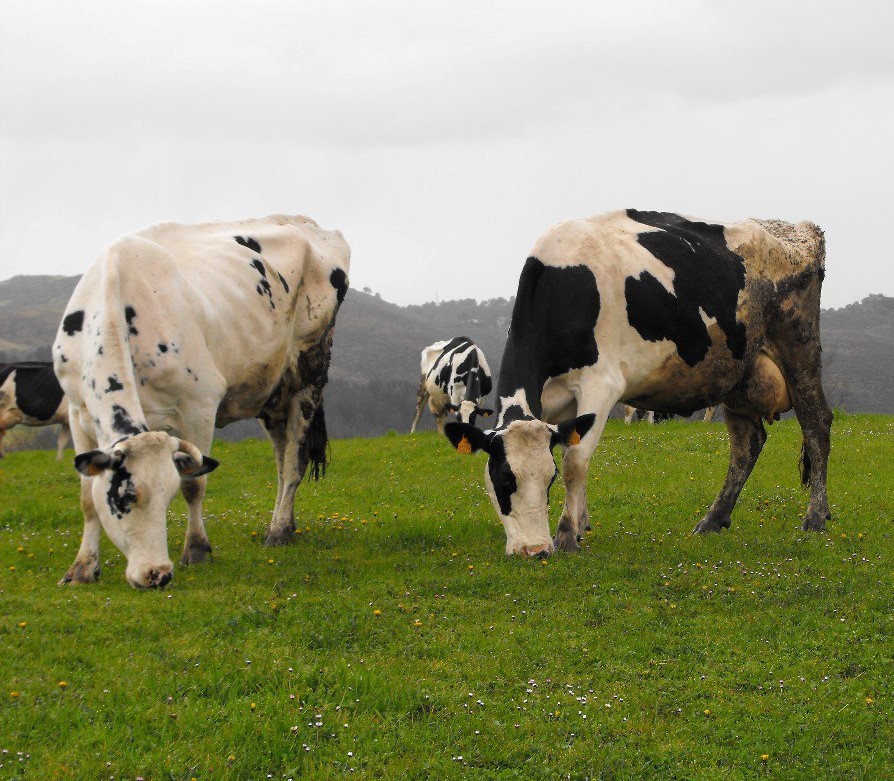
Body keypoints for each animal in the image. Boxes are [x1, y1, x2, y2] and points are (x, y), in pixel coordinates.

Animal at [53, 214, 350, 588]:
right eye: (127, 496)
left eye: (167, 497)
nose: (158, 574)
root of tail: (308, 224)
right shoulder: (78, 412)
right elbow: (87, 495)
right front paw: (82, 568)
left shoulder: (200, 405)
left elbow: (194, 484)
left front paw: (196, 550)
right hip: (271, 393)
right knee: (282, 463)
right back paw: (287, 522)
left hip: (306, 377)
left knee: (295, 460)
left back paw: (279, 530)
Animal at [444, 209, 832, 558]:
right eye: (504, 479)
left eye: (548, 479)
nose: (534, 550)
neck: (566, 285)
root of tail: (798, 228)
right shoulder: (558, 402)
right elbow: (574, 453)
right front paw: (581, 524)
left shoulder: (601, 384)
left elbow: (575, 461)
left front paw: (567, 536)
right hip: (739, 374)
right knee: (747, 445)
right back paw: (712, 520)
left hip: (799, 349)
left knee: (816, 425)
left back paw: (815, 518)